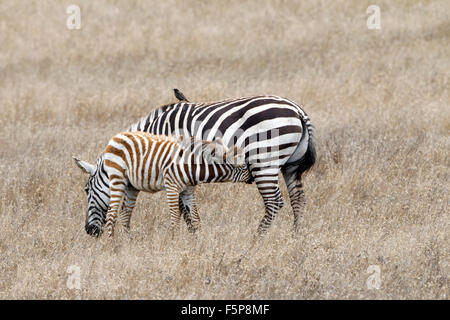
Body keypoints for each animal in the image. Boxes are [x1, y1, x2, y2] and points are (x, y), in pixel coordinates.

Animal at [74, 131, 250, 238]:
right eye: (86, 190)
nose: (89, 231)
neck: (193, 166)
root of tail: (116, 137)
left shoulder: (188, 191)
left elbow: (196, 217)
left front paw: (199, 241)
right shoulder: (172, 187)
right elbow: (175, 217)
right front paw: (173, 242)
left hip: (131, 186)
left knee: (125, 213)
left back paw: (127, 241)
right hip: (117, 179)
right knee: (112, 213)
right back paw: (112, 246)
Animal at [127, 91, 316, 234]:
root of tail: (297, 110)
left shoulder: (175, 168)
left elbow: (182, 206)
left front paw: (192, 234)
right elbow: (185, 206)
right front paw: (194, 234)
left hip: (264, 161)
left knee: (273, 201)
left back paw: (257, 239)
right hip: (291, 165)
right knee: (298, 199)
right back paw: (295, 236)